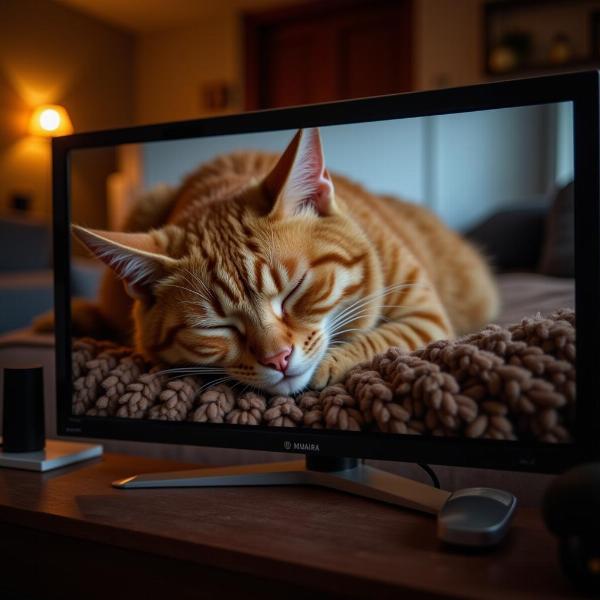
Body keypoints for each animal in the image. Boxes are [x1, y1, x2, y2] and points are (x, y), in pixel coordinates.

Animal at [55, 129, 496, 396]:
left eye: (295, 290)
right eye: (215, 326)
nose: (278, 359)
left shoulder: (426, 316)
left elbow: (382, 337)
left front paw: (333, 361)